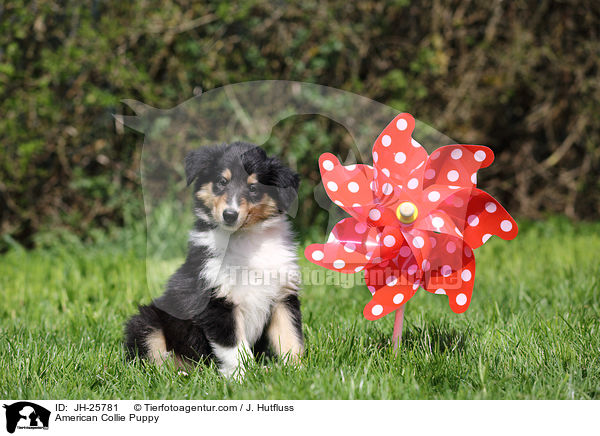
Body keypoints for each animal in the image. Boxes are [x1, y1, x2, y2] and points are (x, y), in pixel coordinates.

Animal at [126, 141, 304, 376]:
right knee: (153, 359)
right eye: (221, 182)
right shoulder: (217, 300)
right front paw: (242, 377)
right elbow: (235, 348)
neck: (245, 239)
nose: (230, 215)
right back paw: (178, 374)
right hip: (147, 321)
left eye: (253, 188)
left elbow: (291, 339)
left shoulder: (283, 296)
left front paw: (299, 372)